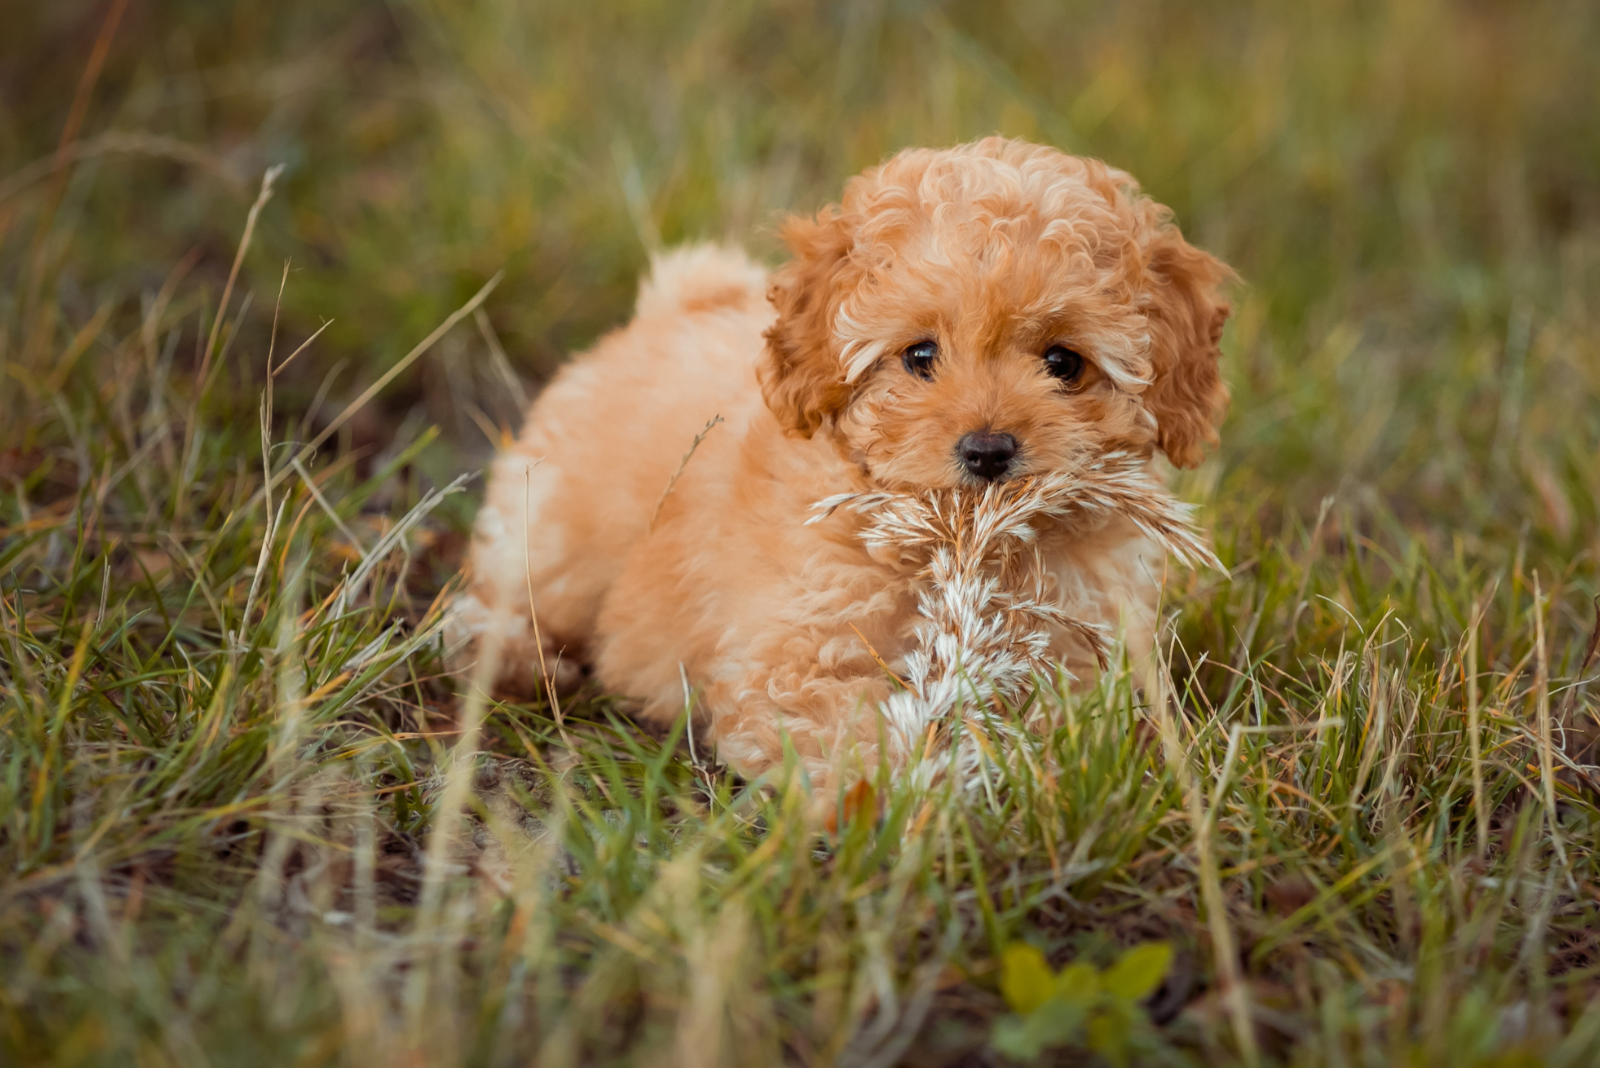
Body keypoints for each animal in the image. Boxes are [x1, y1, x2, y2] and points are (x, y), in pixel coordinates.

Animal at [451, 135, 1235, 793]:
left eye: (1064, 363)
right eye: (920, 355)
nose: (987, 451)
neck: (960, 547)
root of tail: (673, 307)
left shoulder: (1076, 653)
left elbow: (1060, 728)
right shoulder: (794, 662)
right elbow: (854, 741)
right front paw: (912, 800)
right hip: (554, 531)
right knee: (500, 598)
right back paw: (522, 664)